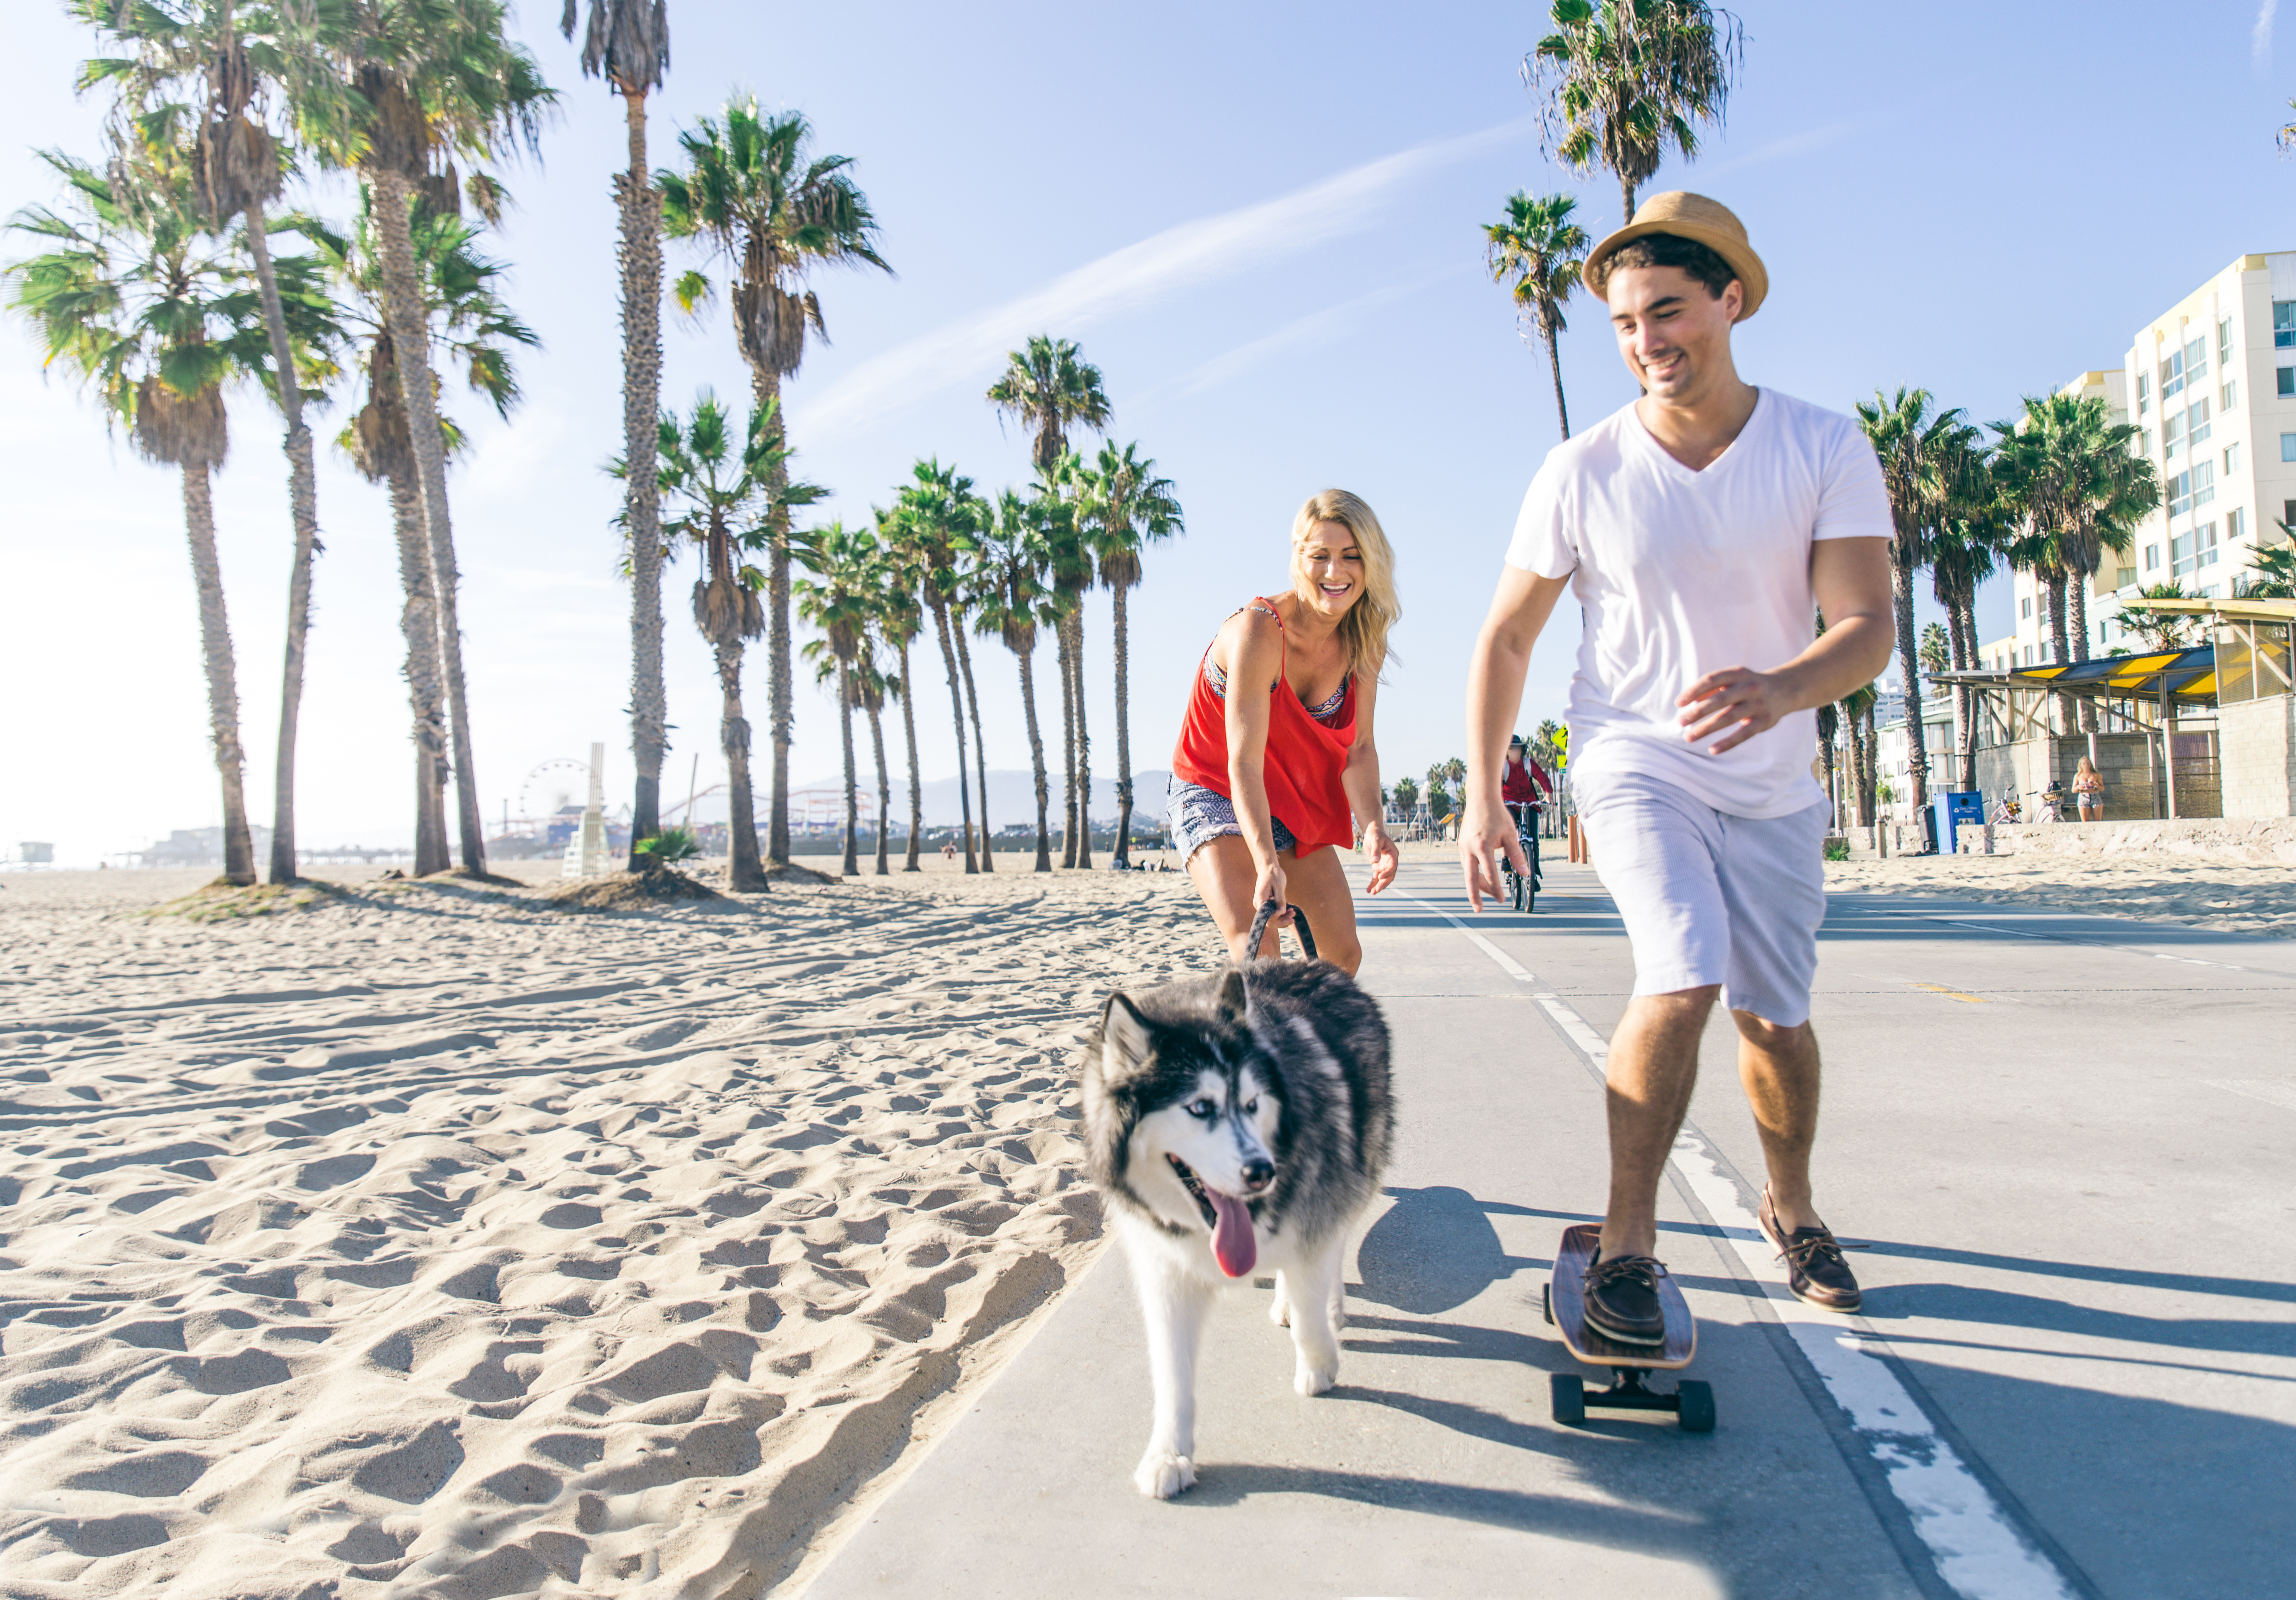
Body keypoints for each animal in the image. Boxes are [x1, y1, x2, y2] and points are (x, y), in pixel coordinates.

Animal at [1079, 909, 1387, 1496]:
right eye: (1200, 1107)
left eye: (1251, 1103)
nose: (1262, 1172)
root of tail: (1314, 966)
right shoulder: (1165, 1270)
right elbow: (1172, 1372)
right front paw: (1169, 1453)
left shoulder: (1315, 1205)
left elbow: (1313, 1282)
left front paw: (1318, 1362)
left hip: (1356, 1160)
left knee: (1336, 1241)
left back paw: (1328, 1304)